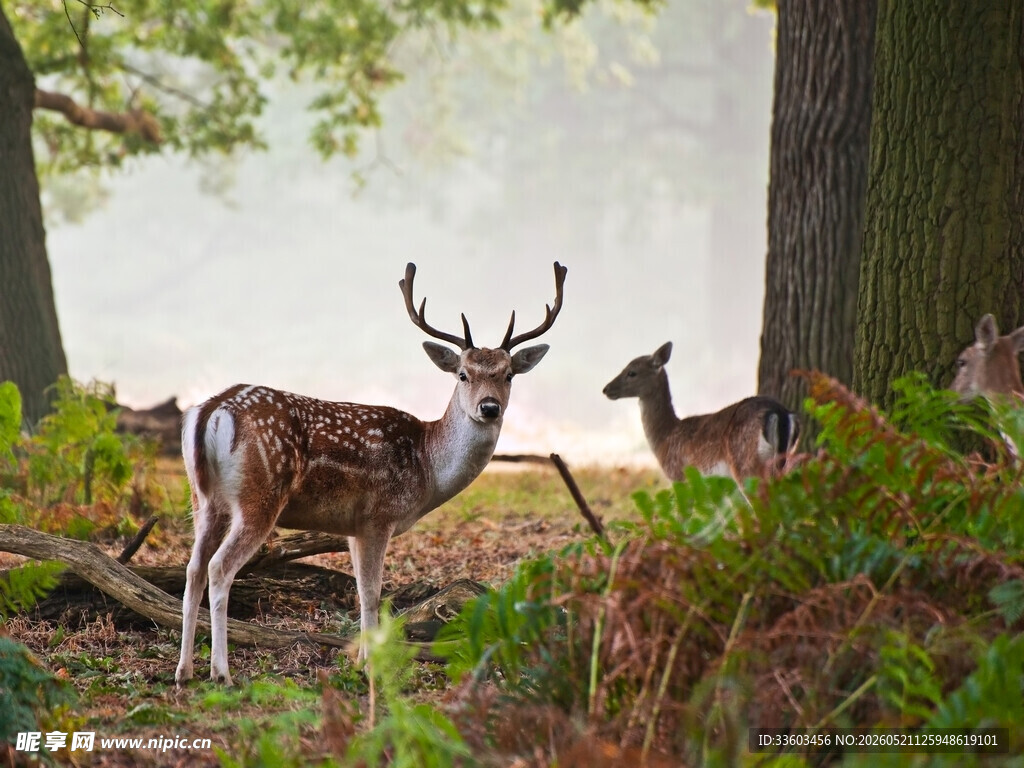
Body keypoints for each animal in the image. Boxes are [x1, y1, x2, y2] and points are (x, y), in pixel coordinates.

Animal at [175, 262, 566, 686]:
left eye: (509, 374)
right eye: (463, 374)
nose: (489, 407)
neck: (427, 470)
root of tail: (212, 410)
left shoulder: (353, 526)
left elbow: (362, 591)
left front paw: (359, 660)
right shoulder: (379, 515)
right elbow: (374, 592)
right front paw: (370, 664)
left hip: (203, 499)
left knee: (193, 568)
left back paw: (184, 671)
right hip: (259, 495)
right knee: (218, 568)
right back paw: (221, 673)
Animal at [602, 341, 799, 483]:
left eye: (632, 372)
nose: (606, 389)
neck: (666, 436)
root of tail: (780, 412)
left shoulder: (678, 475)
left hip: (746, 461)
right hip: (785, 459)